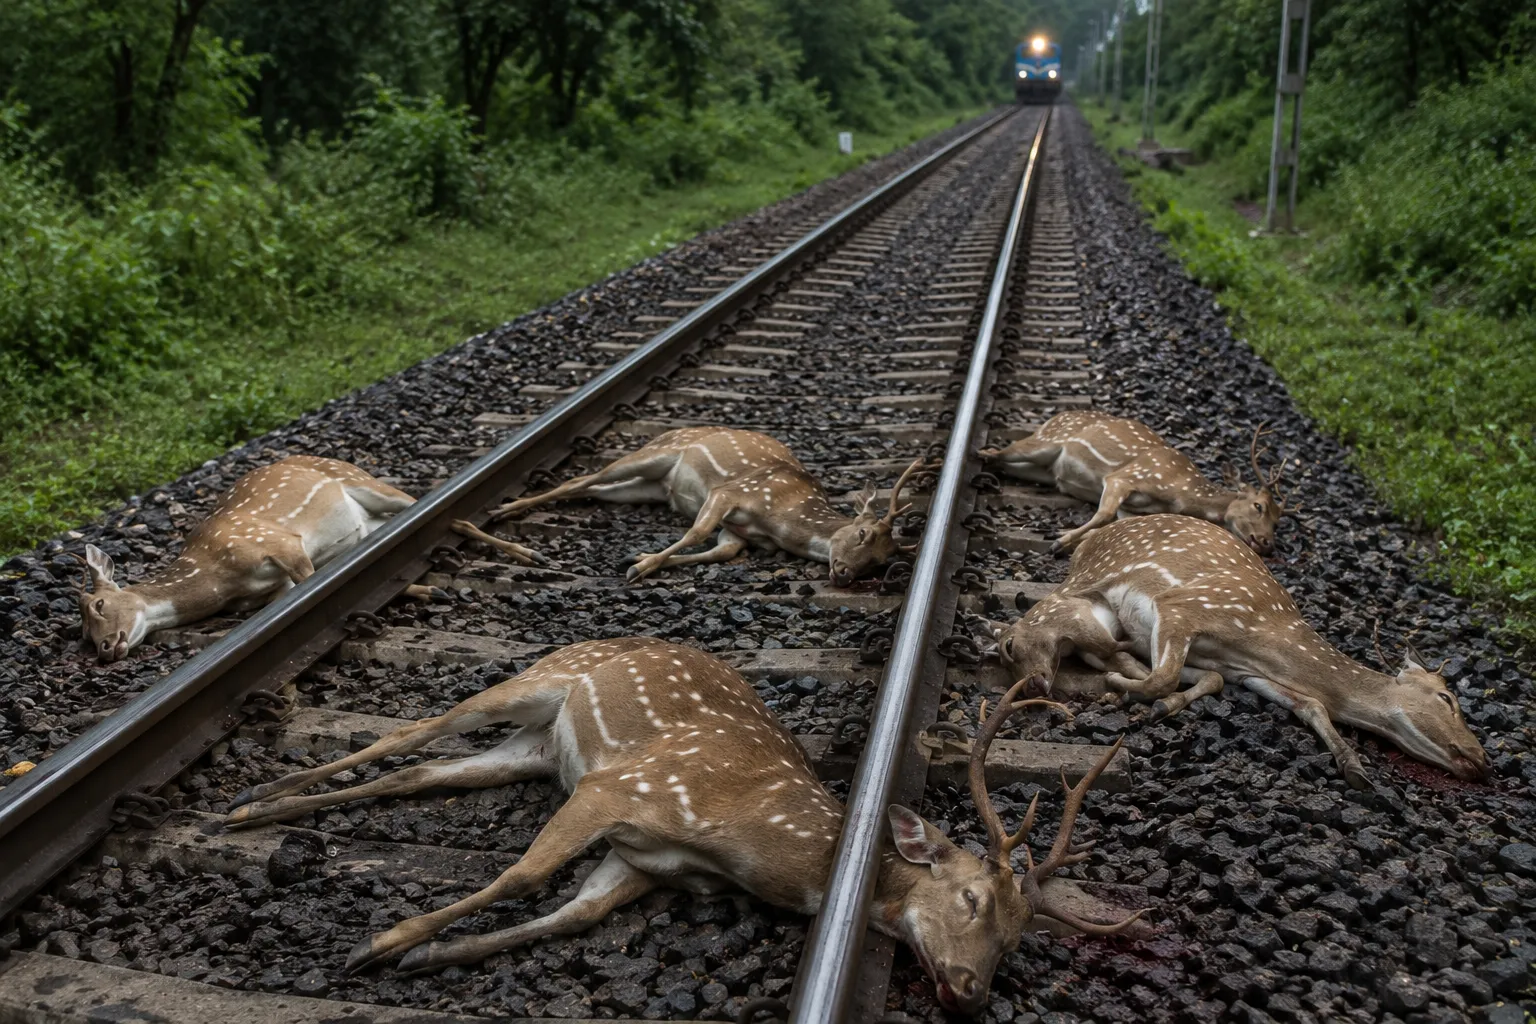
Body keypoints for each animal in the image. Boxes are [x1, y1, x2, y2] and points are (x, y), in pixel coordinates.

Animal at [74, 455, 543, 663]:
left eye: (99, 604)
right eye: (81, 634)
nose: (105, 649)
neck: (218, 577)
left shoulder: (279, 543)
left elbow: (317, 583)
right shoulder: (273, 587)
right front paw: (424, 591)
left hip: (366, 483)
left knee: (446, 514)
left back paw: (528, 552)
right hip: (368, 523)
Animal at [224, 637, 1141, 1015]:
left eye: (1017, 942)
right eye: (972, 900)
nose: (969, 992)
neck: (757, 847)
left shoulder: (646, 861)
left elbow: (571, 915)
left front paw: (427, 958)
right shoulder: (624, 790)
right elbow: (525, 876)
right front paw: (377, 946)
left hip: (536, 750)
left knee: (423, 771)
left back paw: (262, 807)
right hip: (541, 677)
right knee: (415, 731)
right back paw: (252, 799)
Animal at [488, 427, 924, 585]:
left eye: (881, 563)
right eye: (862, 532)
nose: (845, 574)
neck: (782, 521)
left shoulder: (741, 533)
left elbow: (722, 551)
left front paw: (640, 557)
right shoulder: (733, 492)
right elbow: (697, 531)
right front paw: (638, 568)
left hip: (647, 488)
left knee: (593, 490)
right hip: (654, 453)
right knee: (583, 479)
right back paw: (503, 511)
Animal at [977, 411, 1288, 555]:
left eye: (1277, 522)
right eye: (1258, 506)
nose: (1267, 543)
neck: (1180, 494)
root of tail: (1055, 416)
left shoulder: (1134, 509)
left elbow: (1113, 523)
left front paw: (1070, 542)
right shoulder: (1128, 476)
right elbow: (1103, 514)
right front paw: (1059, 542)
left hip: (1044, 470)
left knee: (1005, 463)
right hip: (1046, 439)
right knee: (997, 453)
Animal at [988, 513, 1489, 789]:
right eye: (1447, 698)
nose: (1482, 758)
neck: (1261, 640)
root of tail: (1090, 541)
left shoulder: (1249, 673)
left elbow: (1309, 705)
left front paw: (1355, 767)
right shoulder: (1183, 607)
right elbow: (1161, 676)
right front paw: (1126, 692)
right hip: (1079, 591)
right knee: (1038, 623)